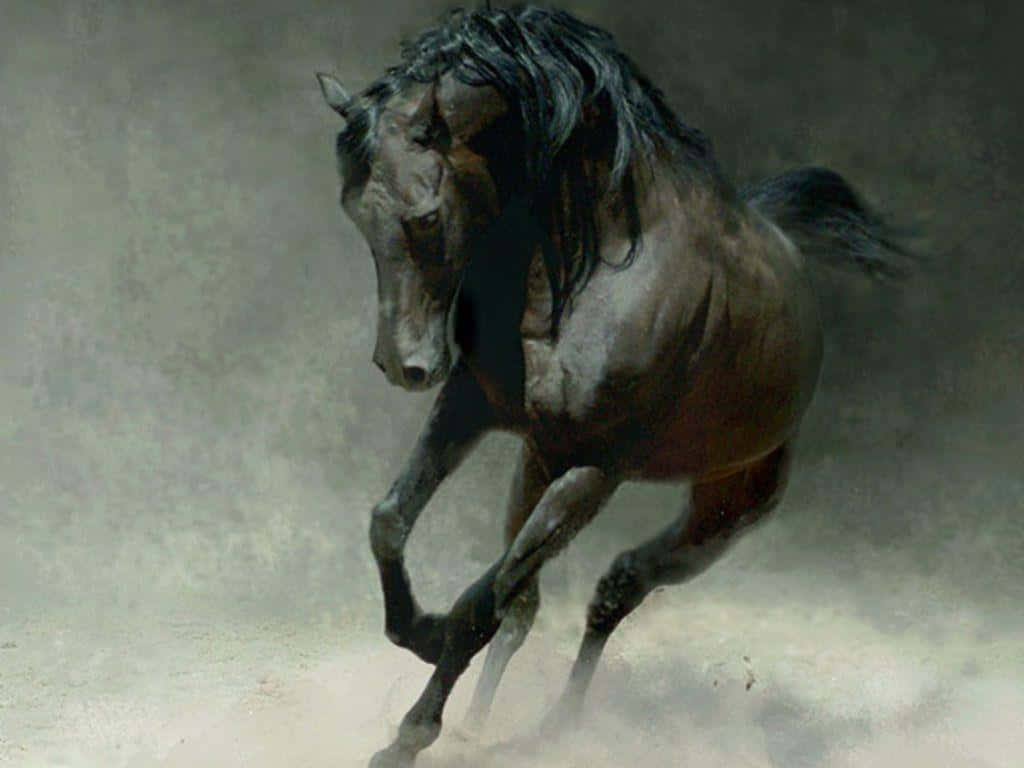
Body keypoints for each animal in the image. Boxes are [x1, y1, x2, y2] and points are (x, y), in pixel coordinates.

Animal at [315, 6, 907, 766]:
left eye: (426, 216)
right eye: (354, 211)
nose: (404, 365)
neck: (594, 263)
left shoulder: (597, 467)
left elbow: (485, 598)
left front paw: (408, 733)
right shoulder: (474, 405)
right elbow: (391, 523)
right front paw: (417, 631)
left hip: (721, 511)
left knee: (614, 588)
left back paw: (560, 727)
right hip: (536, 464)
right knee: (534, 606)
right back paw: (485, 725)